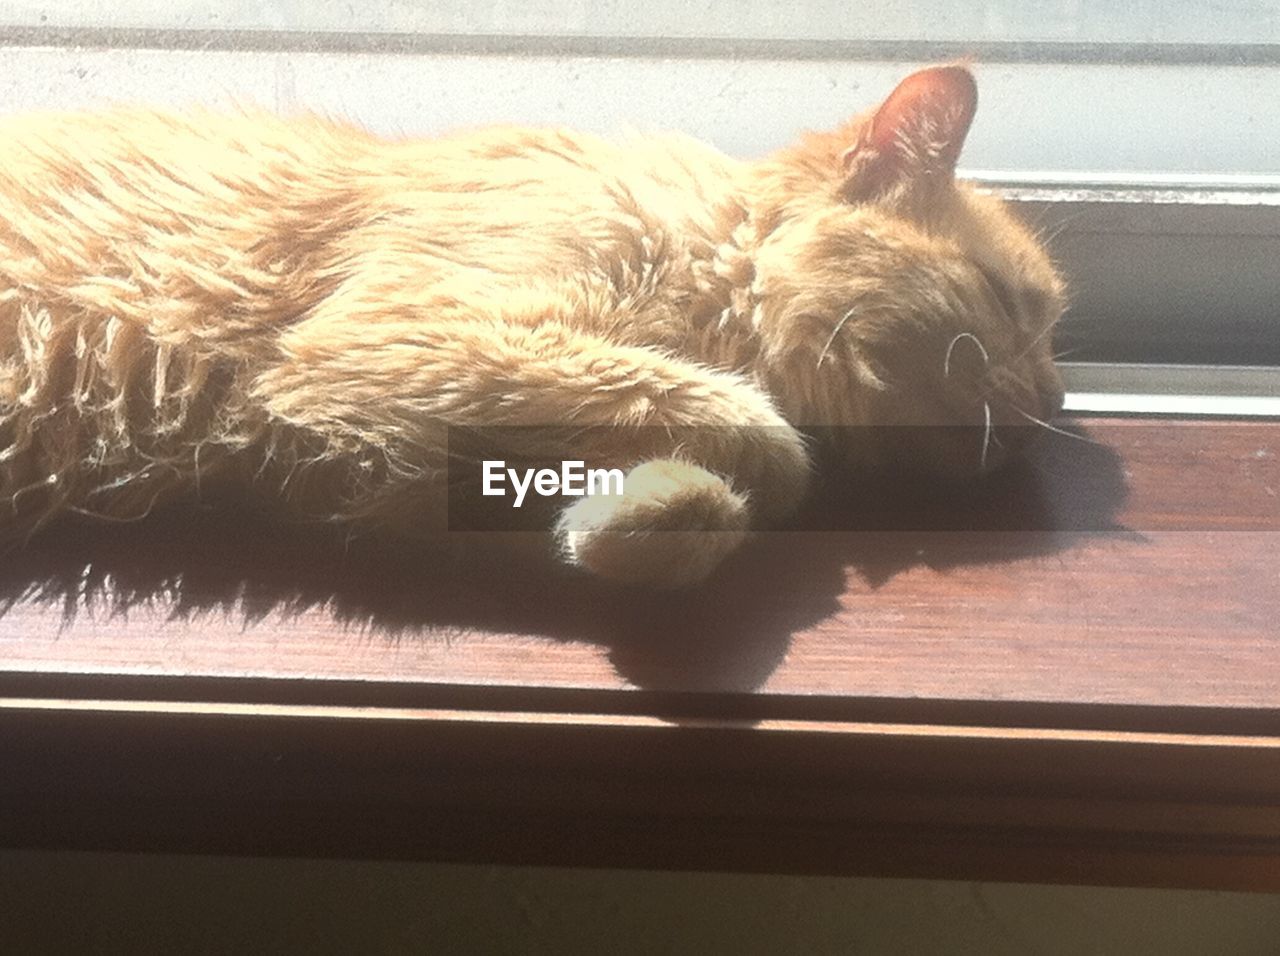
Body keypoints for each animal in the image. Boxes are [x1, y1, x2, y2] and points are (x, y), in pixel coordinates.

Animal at [0, 63, 1059, 586]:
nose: (1054, 400)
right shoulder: (393, 344)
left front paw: (635, 516)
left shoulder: (359, 470)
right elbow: (762, 438)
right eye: (1011, 303)